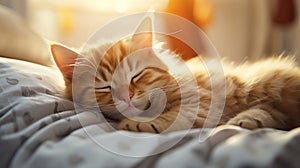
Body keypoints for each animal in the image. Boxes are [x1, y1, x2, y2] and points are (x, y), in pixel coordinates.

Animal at [51, 16, 300, 133]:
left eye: (136, 76)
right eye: (104, 87)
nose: (127, 97)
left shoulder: (202, 98)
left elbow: (174, 116)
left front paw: (137, 124)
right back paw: (248, 120)